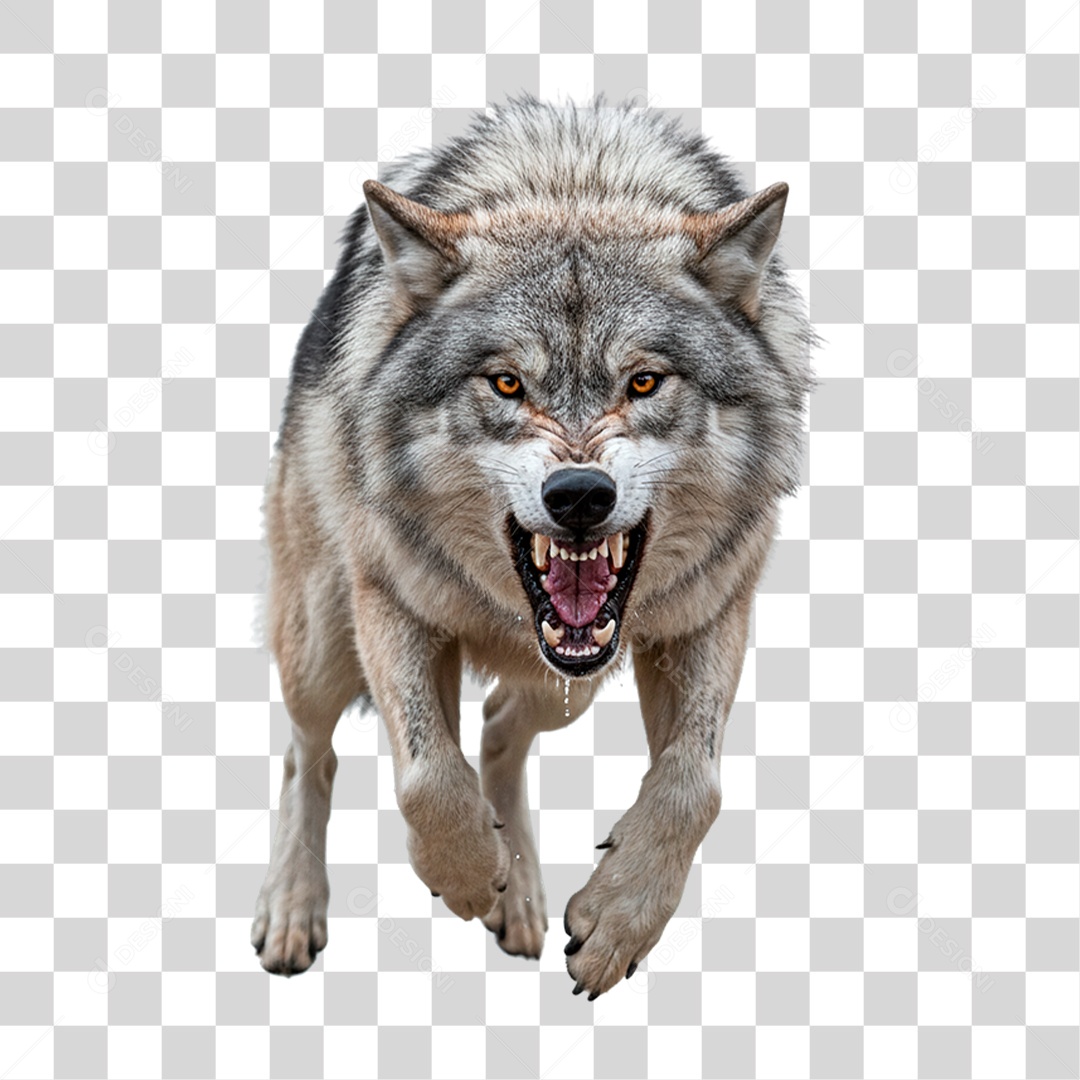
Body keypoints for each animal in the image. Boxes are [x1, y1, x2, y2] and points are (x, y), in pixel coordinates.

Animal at [251, 98, 815, 999]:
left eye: (644, 382)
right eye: (507, 383)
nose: (580, 495)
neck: (573, 181)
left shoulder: (712, 610)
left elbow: (694, 785)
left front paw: (617, 921)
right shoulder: (391, 597)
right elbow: (425, 775)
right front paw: (464, 873)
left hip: (570, 690)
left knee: (494, 727)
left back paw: (518, 893)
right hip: (322, 639)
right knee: (310, 755)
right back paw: (295, 908)